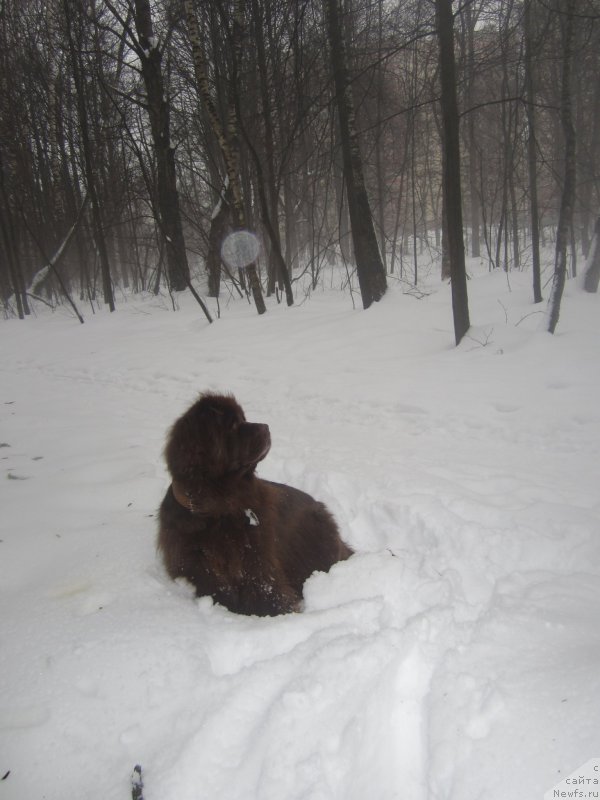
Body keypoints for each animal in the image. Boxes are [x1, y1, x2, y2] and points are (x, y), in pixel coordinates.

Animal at [157, 394, 352, 620]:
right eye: (232, 425)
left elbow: (266, 593)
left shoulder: (258, 565)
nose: (266, 427)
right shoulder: (195, 566)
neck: (219, 510)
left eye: (244, 418)